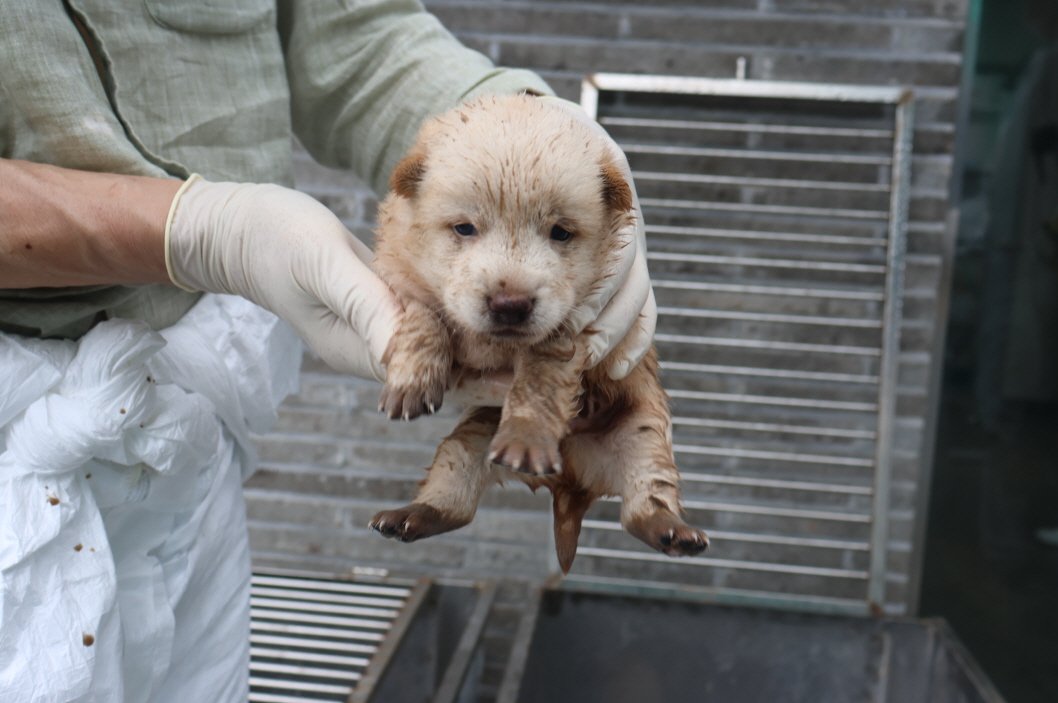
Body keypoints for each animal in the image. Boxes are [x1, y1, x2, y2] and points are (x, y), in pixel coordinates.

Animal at [368, 94, 706, 571]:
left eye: (560, 232)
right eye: (464, 227)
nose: (510, 304)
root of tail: (570, 486)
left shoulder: (568, 333)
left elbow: (537, 383)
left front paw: (526, 437)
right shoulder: (406, 283)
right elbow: (425, 321)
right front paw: (411, 383)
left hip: (645, 434)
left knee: (646, 500)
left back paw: (674, 532)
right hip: (471, 440)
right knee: (452, 495)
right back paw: (408, 516)